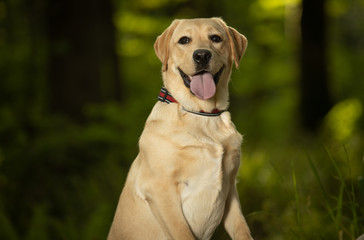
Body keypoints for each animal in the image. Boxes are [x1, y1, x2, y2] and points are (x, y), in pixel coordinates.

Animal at [108, 17, 253, 240]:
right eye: (184, 40)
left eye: (215, 38)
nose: (202, 55)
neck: (201, 115)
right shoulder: (160, 190)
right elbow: (183, 232)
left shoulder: (230, 189)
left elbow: (242, 230)